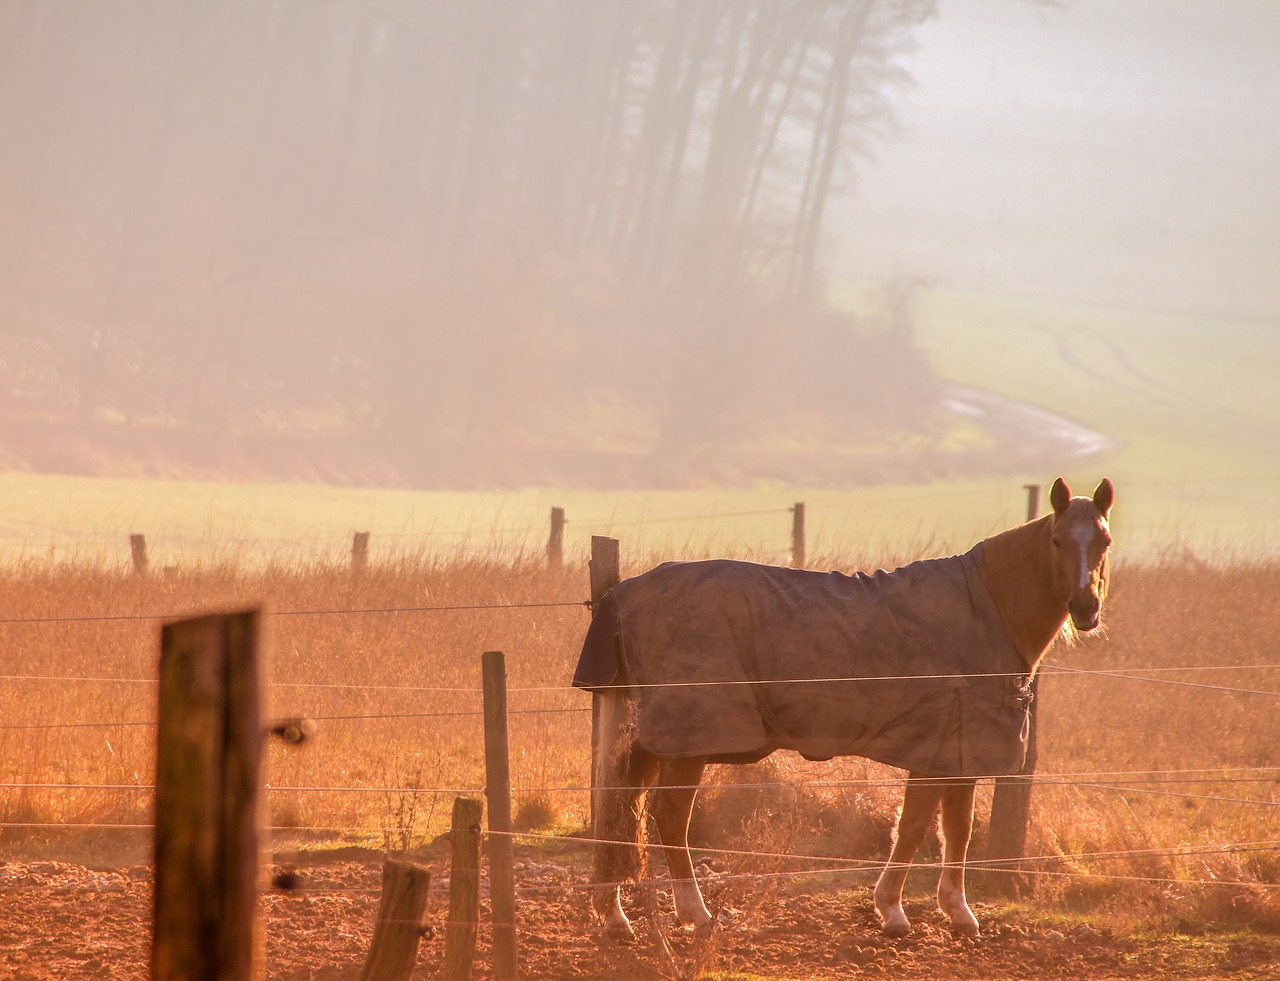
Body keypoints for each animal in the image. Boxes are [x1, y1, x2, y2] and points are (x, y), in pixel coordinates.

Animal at [576, 481, 1116, 942]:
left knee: (622, 808)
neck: (985, 608)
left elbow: (956, 830)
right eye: (1057, 540)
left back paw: (614, 915)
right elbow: (914, 827)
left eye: (1104, 542)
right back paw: (695, 913)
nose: (1086, 608)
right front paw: (893, 911)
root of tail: (624, 591)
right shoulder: (934, 751)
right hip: (690, 739)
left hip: (656, 739)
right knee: (669, 818)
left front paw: (958, 913)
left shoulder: (960, 752)